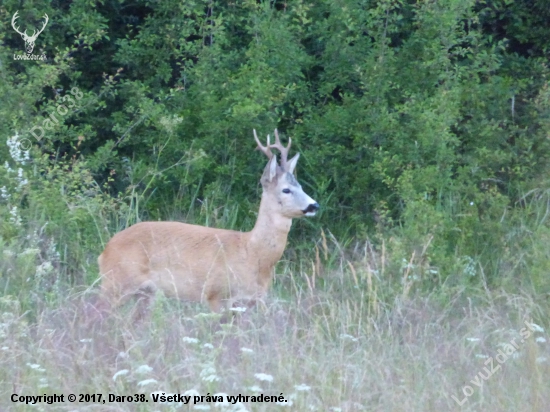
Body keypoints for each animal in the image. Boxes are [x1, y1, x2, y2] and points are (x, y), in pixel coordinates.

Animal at [97, 129, 316, 312]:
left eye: (301, 186)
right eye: (286, 190)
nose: (314, 205)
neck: (252, 254)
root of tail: (105, 250)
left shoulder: (251, 301)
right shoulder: (216, 294)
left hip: (145, 294)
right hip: (116, 283)